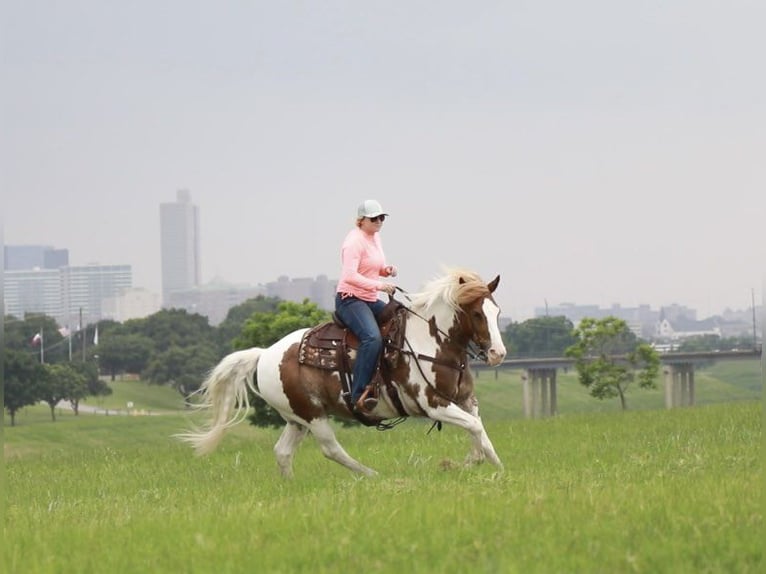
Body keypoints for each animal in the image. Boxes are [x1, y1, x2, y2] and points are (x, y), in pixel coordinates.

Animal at [176, 270, 508, 476]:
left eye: (497, 312)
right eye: (476, 313)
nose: (498, 354)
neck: (431, 340)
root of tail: (265, 354)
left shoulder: (464, 400)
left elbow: (478, 427)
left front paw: (485, 463)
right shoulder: (434, 405)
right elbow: (475, 427)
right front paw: (488, 467)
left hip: (296, 418)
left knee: (282, 451)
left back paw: (290, 485)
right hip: (313, 416)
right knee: (331, 449)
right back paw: (371, 474)